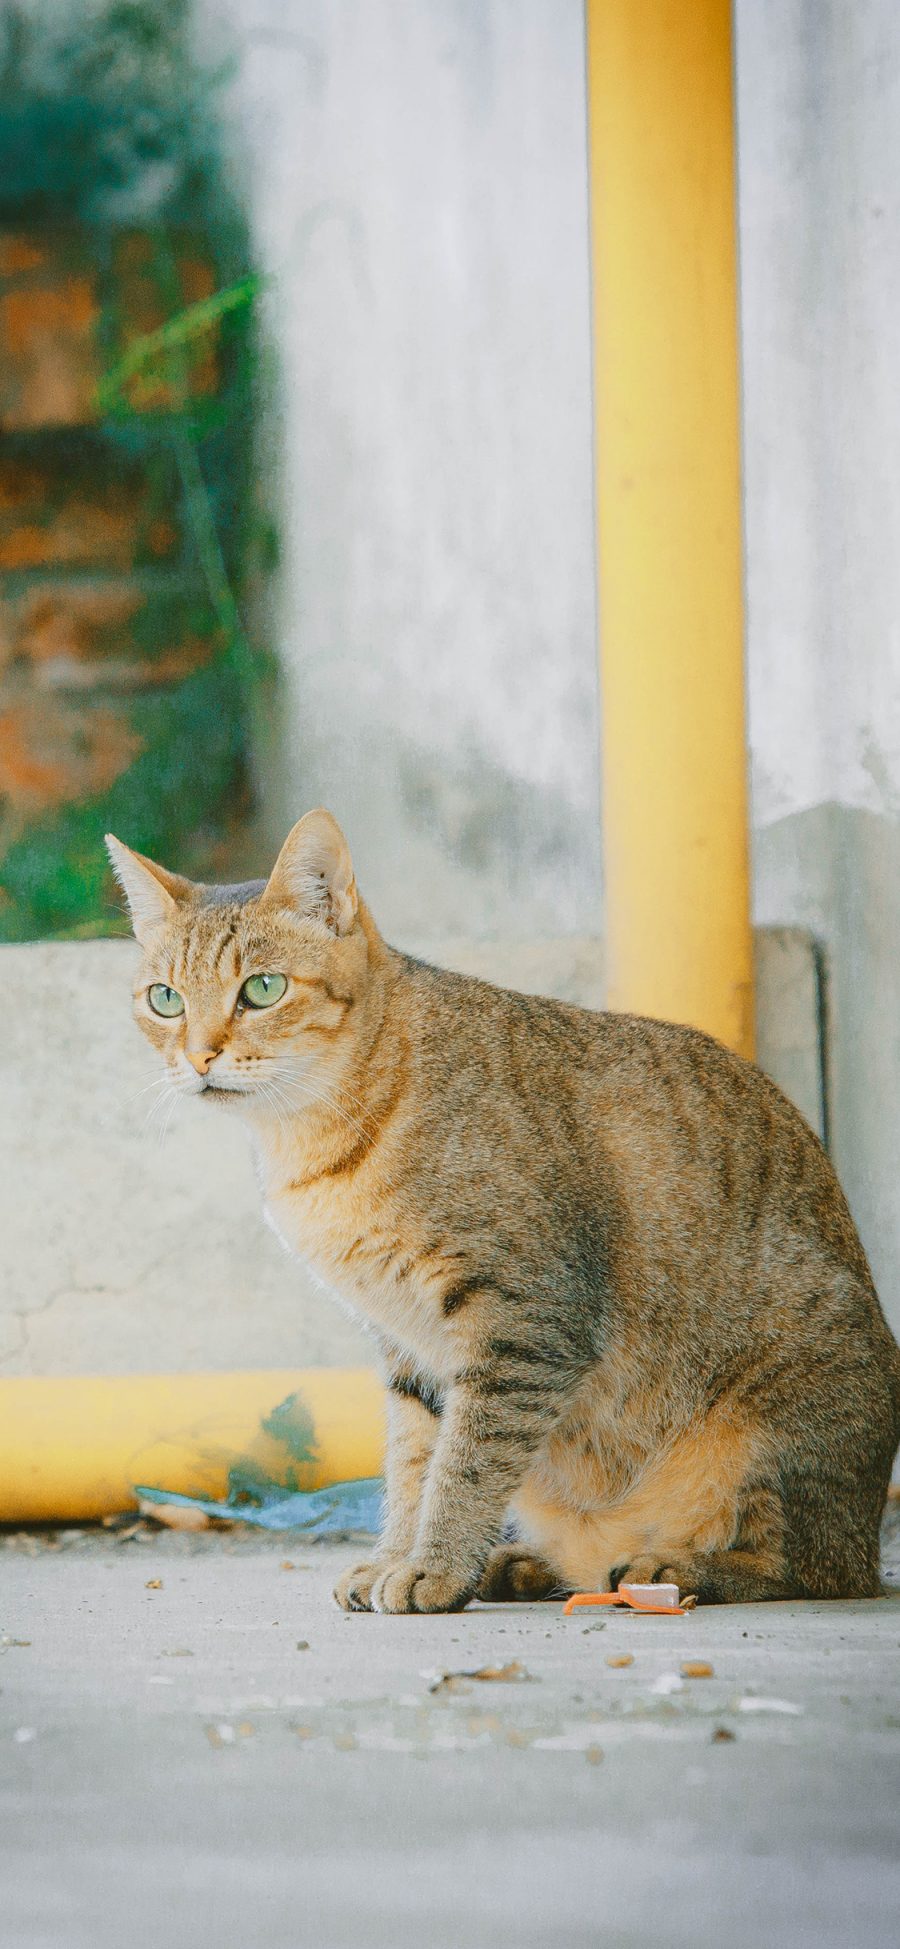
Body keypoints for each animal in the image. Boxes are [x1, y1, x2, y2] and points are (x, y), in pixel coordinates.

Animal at [107, 810, 900, 1613]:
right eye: (165, 998)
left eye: (262, 988)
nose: (199, 1057)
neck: (316, 1139)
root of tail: (870, 1541)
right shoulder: (409, 1348)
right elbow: (413, 1463)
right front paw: (397, 1557)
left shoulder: (524, 1321)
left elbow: (465, 1464)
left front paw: (432, 1566)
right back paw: (523, 1563)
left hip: (776, 1430)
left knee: (801, 1566)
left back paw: (673, 1567)